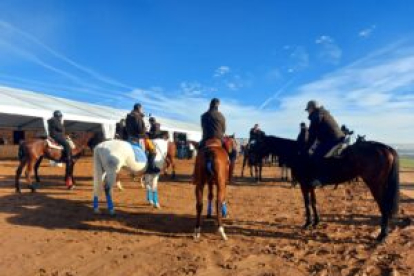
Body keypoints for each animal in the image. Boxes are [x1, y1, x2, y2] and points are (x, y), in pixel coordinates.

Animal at [254, 135, 400, 240]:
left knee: (384, 207)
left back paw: (382, 235)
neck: (298, 154)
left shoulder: (304, 185)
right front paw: (316, 222)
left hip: (375, 185)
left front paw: (307, 223)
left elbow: (307, 203)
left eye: (259, 143)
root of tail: (385, 148)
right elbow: (314, 202)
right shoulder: (310, 185)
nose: (253, 158)